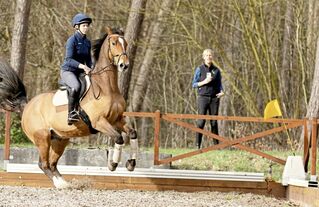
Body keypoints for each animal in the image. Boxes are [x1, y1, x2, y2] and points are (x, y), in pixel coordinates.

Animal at [0, 27, 138, 189]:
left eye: (126, 43)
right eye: (114, 43)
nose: (124, 65)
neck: (106, 88)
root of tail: (27, 105)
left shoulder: (117, 120)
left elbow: (132, 134)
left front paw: (130, 164)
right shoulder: (99, 122)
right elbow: (118, 138)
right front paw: (112, 164)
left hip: (60, 140)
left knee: (52, 164)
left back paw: (64, 183)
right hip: (42, 138)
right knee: (43, 164)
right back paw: (60, 185)